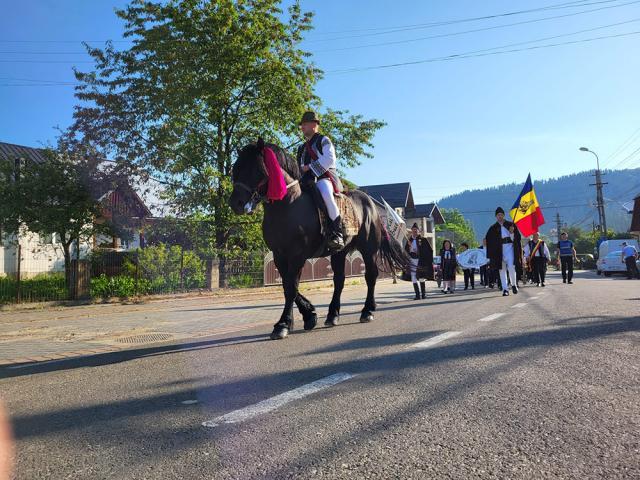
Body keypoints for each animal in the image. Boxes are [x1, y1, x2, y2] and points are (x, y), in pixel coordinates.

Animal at [230, 140, 410, 342]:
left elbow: (291, 287)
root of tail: (370, 203)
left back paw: (367, 311)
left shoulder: (297, 255)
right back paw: (332, 315)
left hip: (368, 249)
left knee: (370, 276)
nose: (235, 203)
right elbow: (287, 285)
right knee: (339, 280)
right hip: (339, 252)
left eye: (258, 170)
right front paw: (309, 315)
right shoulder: (279, 255)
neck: (288, 204)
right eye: (236, 168)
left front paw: (283, 324)